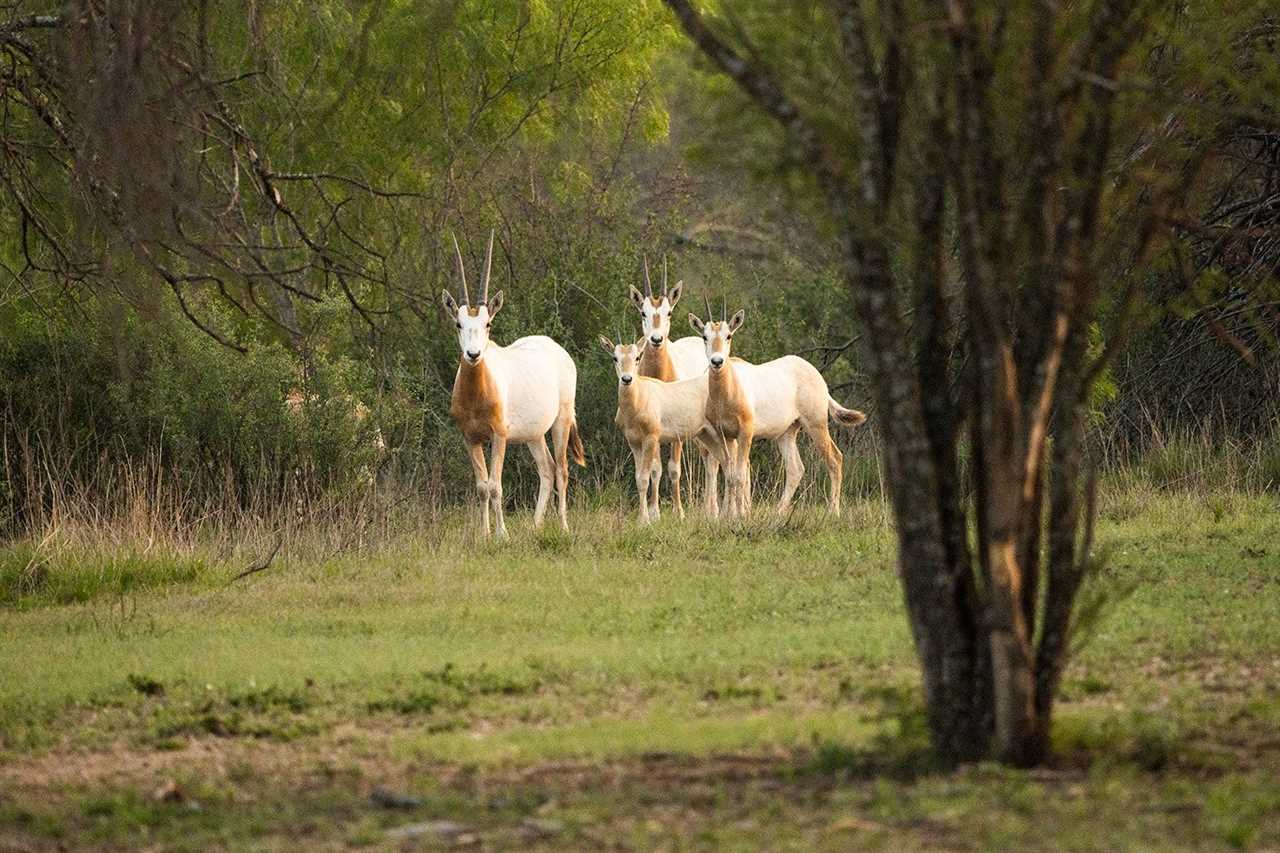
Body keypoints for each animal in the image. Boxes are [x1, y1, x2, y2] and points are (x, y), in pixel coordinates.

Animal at [437, 230, 583, 537]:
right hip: (533, 435)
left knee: (562, 469)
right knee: (547, 469)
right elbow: (482, 487)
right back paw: (535, 526)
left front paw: (502, 535)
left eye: (488, 323)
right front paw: (484, 534)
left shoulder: (499, 436)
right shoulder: (470, 438)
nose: (473, 355)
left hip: (561, 421)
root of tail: (556, 349)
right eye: (458, 324)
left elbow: (495, 486)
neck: (477, 393)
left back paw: (563, 526)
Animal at [596, 333, 721, 522]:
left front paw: (645, 520)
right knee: (714, 462)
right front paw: (646, 517)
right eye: (615, 358)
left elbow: (644, 477)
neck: (638, 403)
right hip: (705, 435)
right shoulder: (634, 442)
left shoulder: (651, 437)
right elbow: (639, 477)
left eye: (637, 357)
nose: (626, 379)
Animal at [629, 256, 721, 514]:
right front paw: (654, 511)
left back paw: (713, 510)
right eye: (643, 312)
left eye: (668, 312)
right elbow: (655, 469)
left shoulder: (676, 432)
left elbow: (673, 469)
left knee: (711, 460)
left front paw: (678, 511)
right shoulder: (654, 431)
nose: (656, 339)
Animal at [691, 300, 870, 512]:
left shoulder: (745, 433)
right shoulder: (725, 435)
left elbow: (740, 476)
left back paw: (833, 512)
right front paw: (729, 514)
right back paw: (779, 512)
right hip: (787, 433)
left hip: (816, 424)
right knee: (796, 469)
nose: (717, 361)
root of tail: (818, 377)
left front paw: (740, 515)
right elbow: (730, 475)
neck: (729, 389)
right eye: (705, 336)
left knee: (835, 459)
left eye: (729, 335)